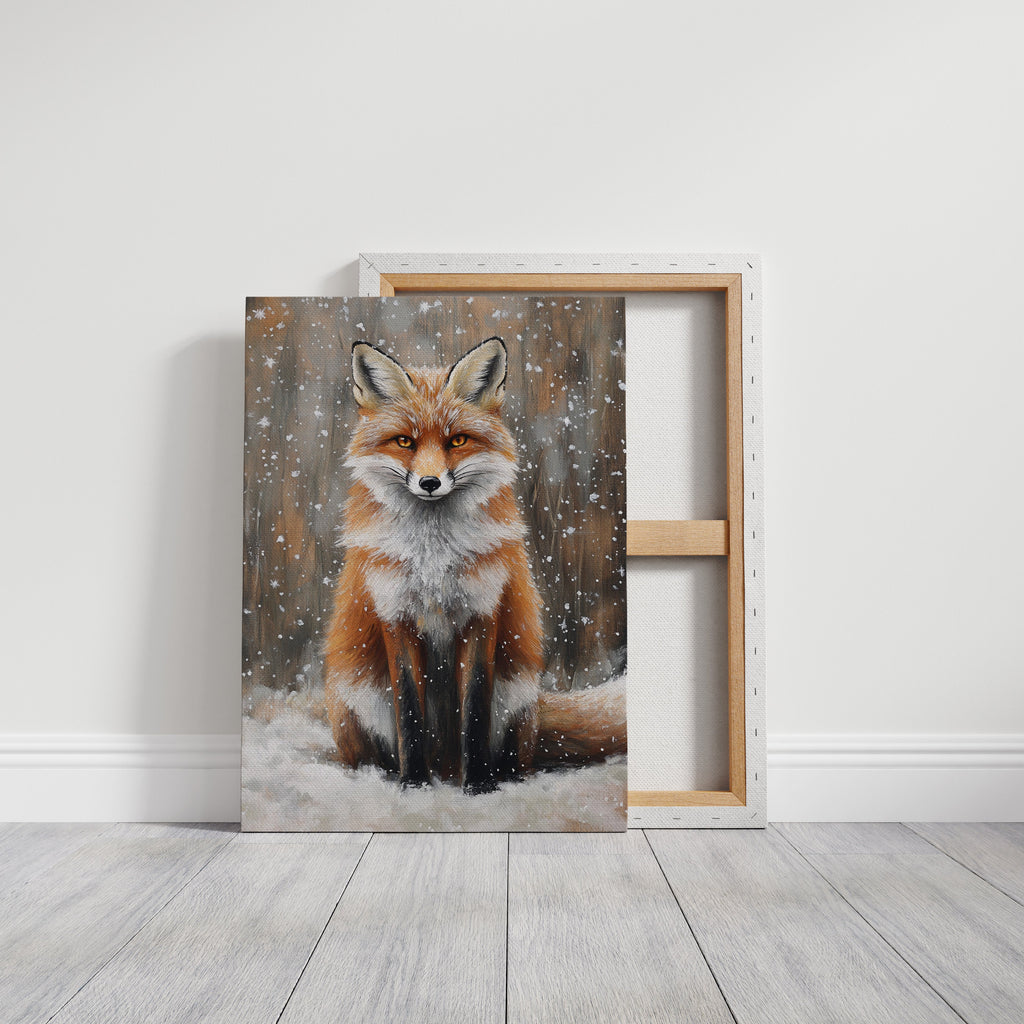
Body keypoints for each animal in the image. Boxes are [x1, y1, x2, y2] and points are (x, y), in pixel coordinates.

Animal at [323, 336, 625, 792]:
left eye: (458, 441)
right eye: (405, 442)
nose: (430, 483)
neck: (433, 557)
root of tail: (445, 765)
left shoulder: (483, 612)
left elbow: (475, 711)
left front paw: (479, 784)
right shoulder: (395, 614)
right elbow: (409, 713)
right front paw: (414, 784)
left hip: (516, 696)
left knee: (518, 756)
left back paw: (499, 776)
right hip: (357, 698)